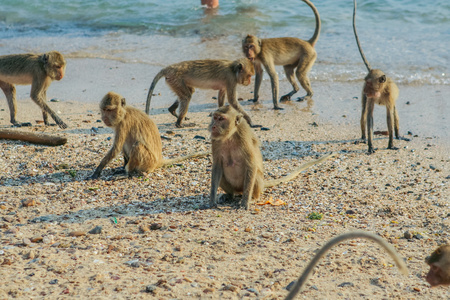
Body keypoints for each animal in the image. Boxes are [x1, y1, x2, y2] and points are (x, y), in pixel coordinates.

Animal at [354, 0, 406, 154]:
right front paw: (370, 145)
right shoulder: (369, 97)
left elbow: (389, 116)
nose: (365, 90)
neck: (380, 91)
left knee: (394, 112)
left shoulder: (390, 95)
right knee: (364, 112)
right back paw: (363, 137)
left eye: (369, 83)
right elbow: (369, 116)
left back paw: (398, 135)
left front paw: (390, 143)